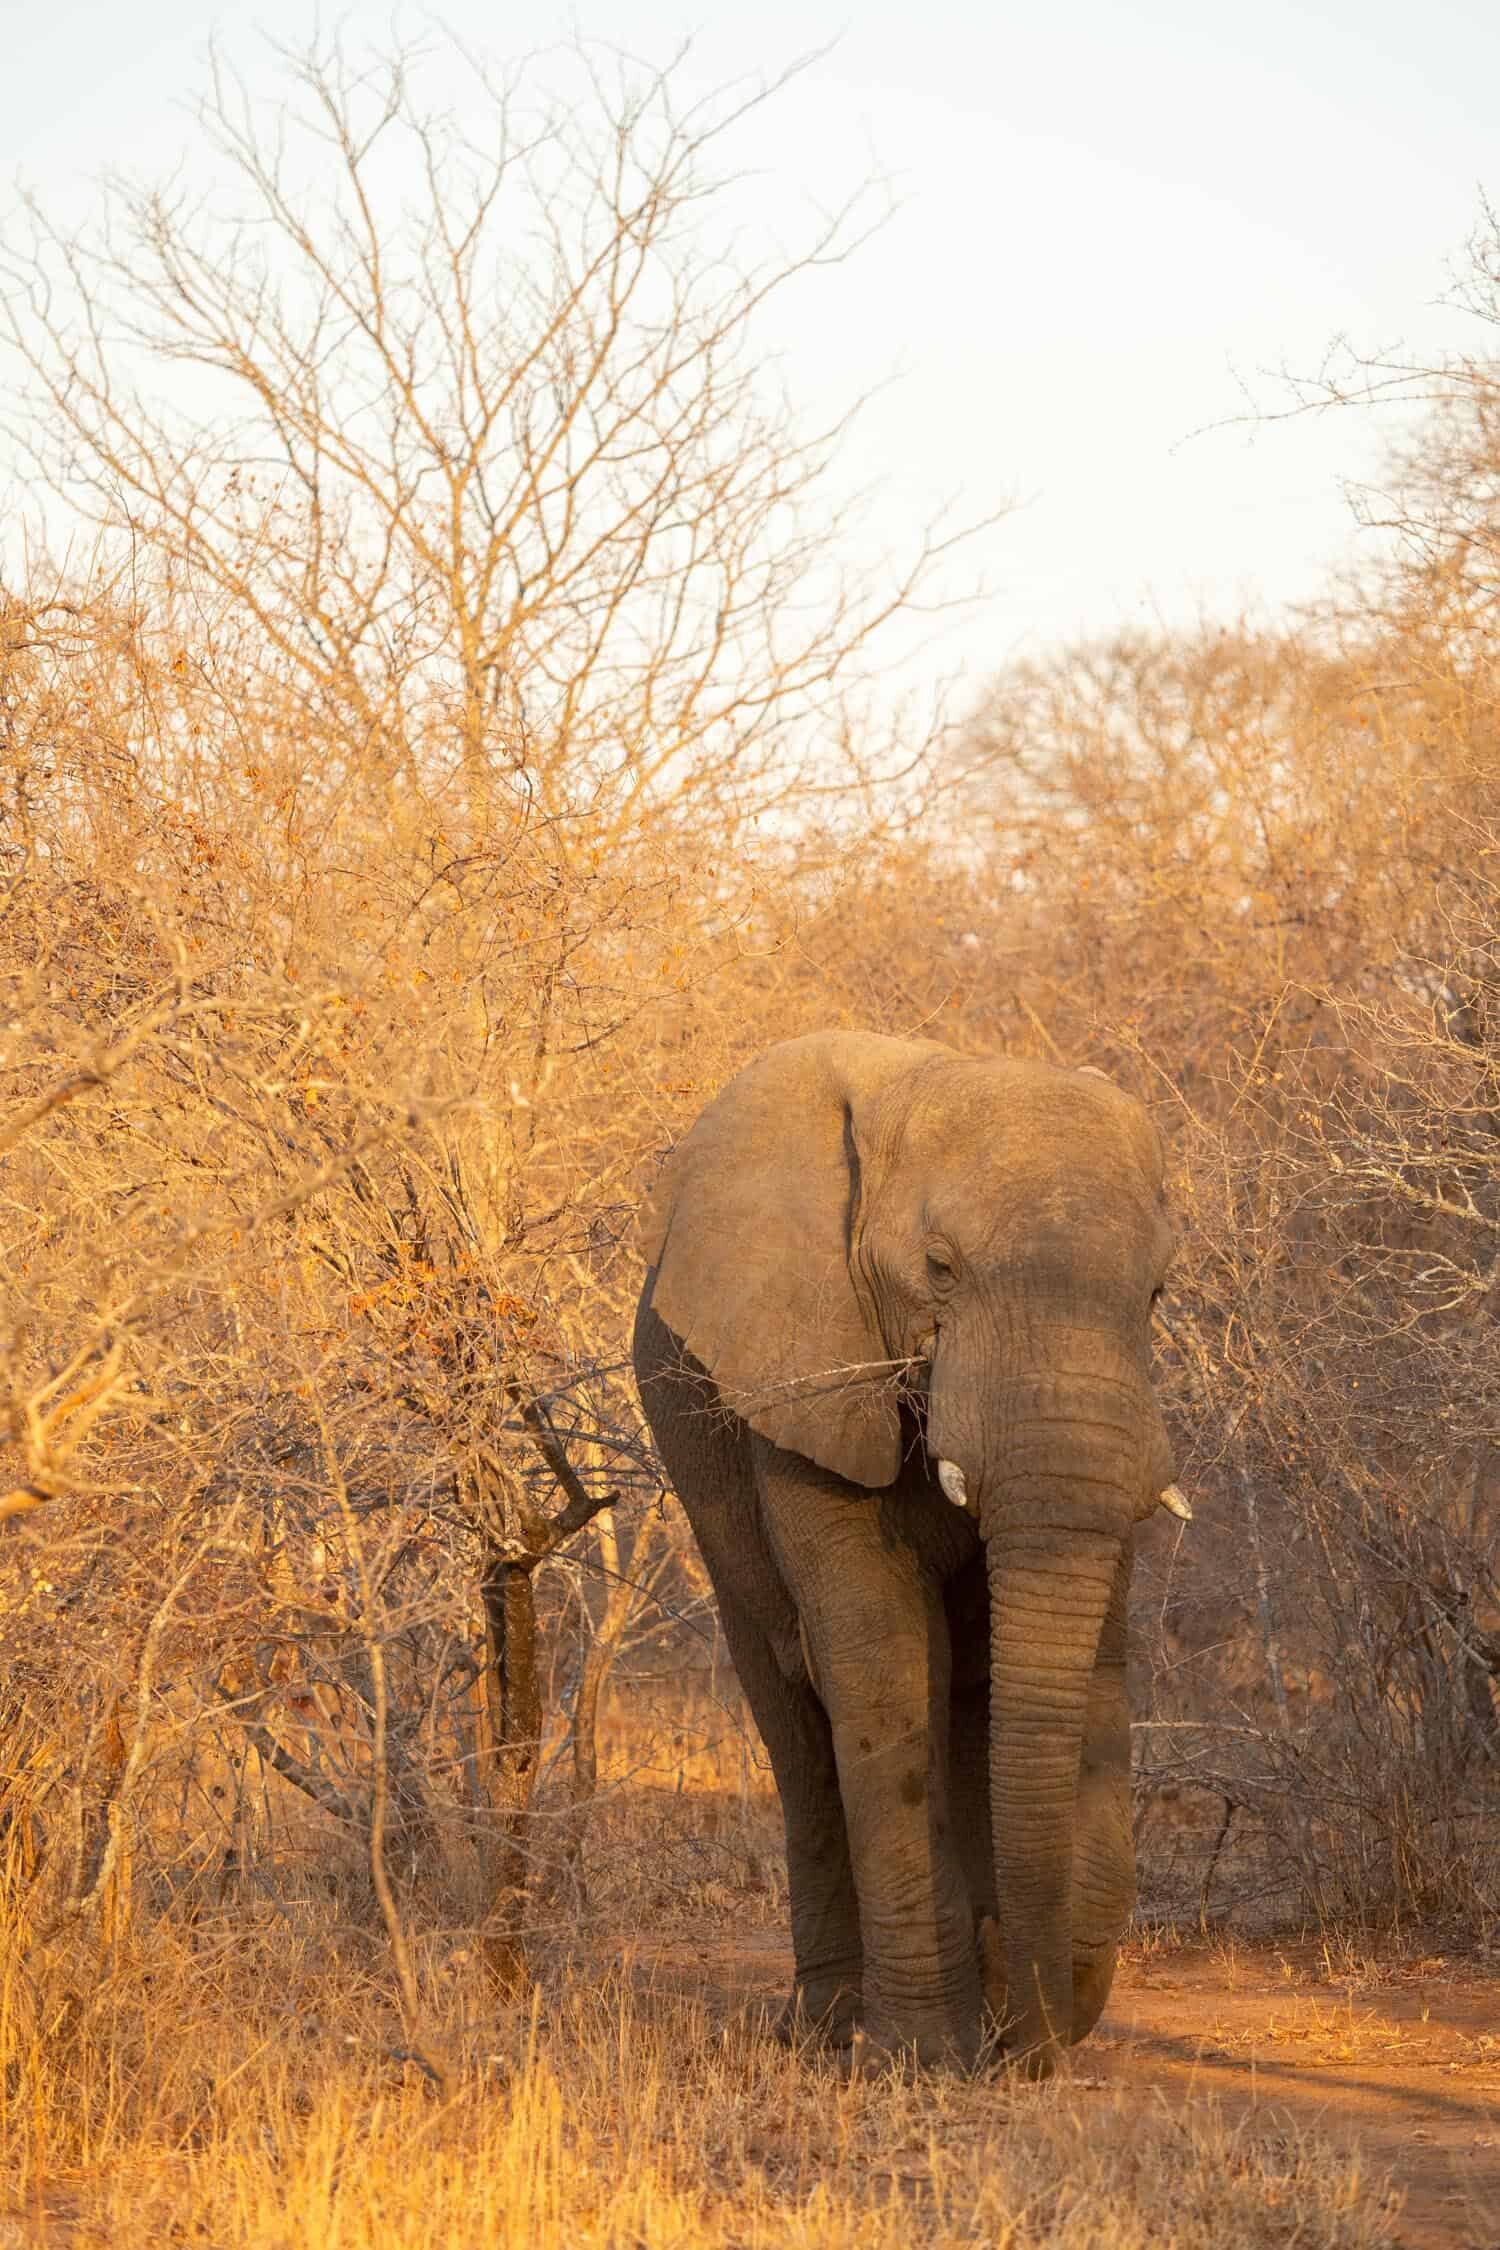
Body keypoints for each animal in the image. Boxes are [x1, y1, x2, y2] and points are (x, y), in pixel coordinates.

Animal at [629, 1030, 1187, 2070]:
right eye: (940, 1267)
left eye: (1157, 1291)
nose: (1029, 2042)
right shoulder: (803, 1373)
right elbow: (882, 1661)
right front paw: (920, 2060)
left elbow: (1090, 1660)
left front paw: (998, 2020)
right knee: (797, 1725)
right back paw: (823, 2031)